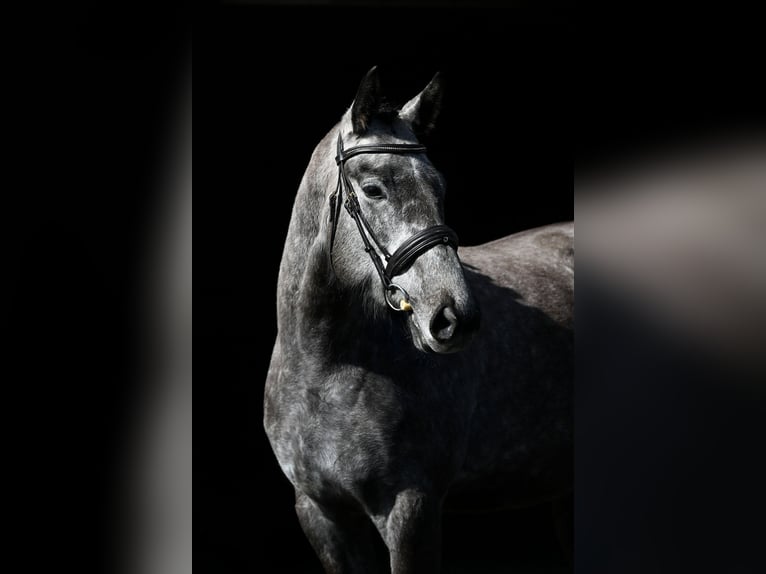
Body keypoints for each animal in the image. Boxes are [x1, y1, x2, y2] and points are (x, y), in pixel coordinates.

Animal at [264, 67, 573, 573]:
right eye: (374, 189)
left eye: (439, 188)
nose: (455, 317)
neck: (327, 367)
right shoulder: (322, 513)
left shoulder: (411, 509)